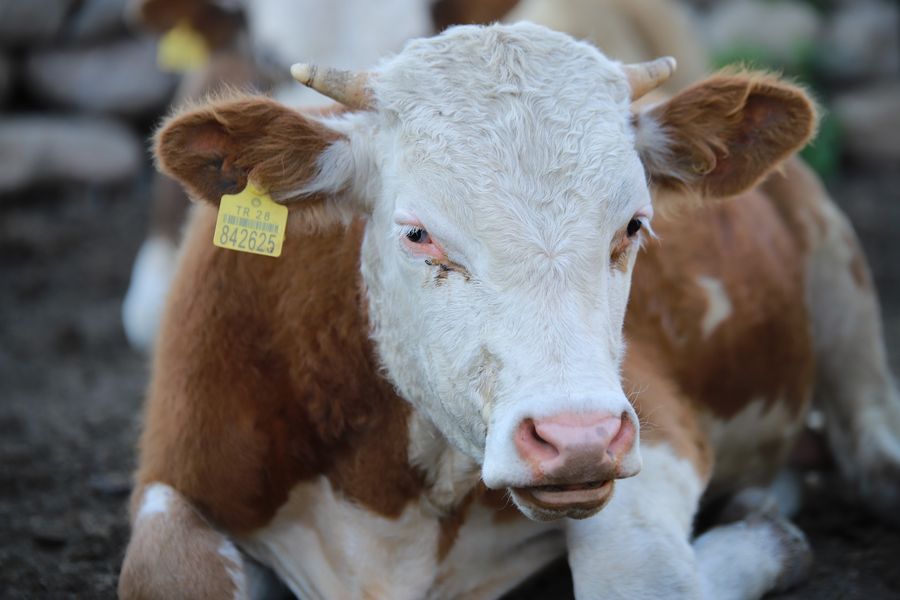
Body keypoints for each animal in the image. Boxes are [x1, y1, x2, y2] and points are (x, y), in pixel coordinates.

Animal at [119, 23, 900, 600]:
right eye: (418, 233)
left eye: (633, 225)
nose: (578, 437)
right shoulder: (179, 470)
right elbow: (161, 574)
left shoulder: (652, 429)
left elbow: (636, 577)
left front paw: (766, 544)